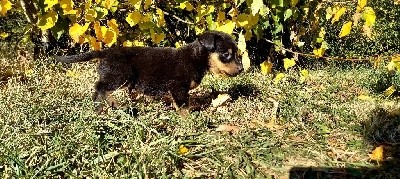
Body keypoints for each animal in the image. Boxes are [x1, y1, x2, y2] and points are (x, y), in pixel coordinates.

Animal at [56, 30, 244, 117]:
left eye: (237, 53)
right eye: (226, 54)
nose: (242, 69)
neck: (197, 57)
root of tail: (104, 53)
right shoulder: (178, 86)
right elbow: (183, 105)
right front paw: (188, 119)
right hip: (121, 75)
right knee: (99, 88)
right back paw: (102, 107)